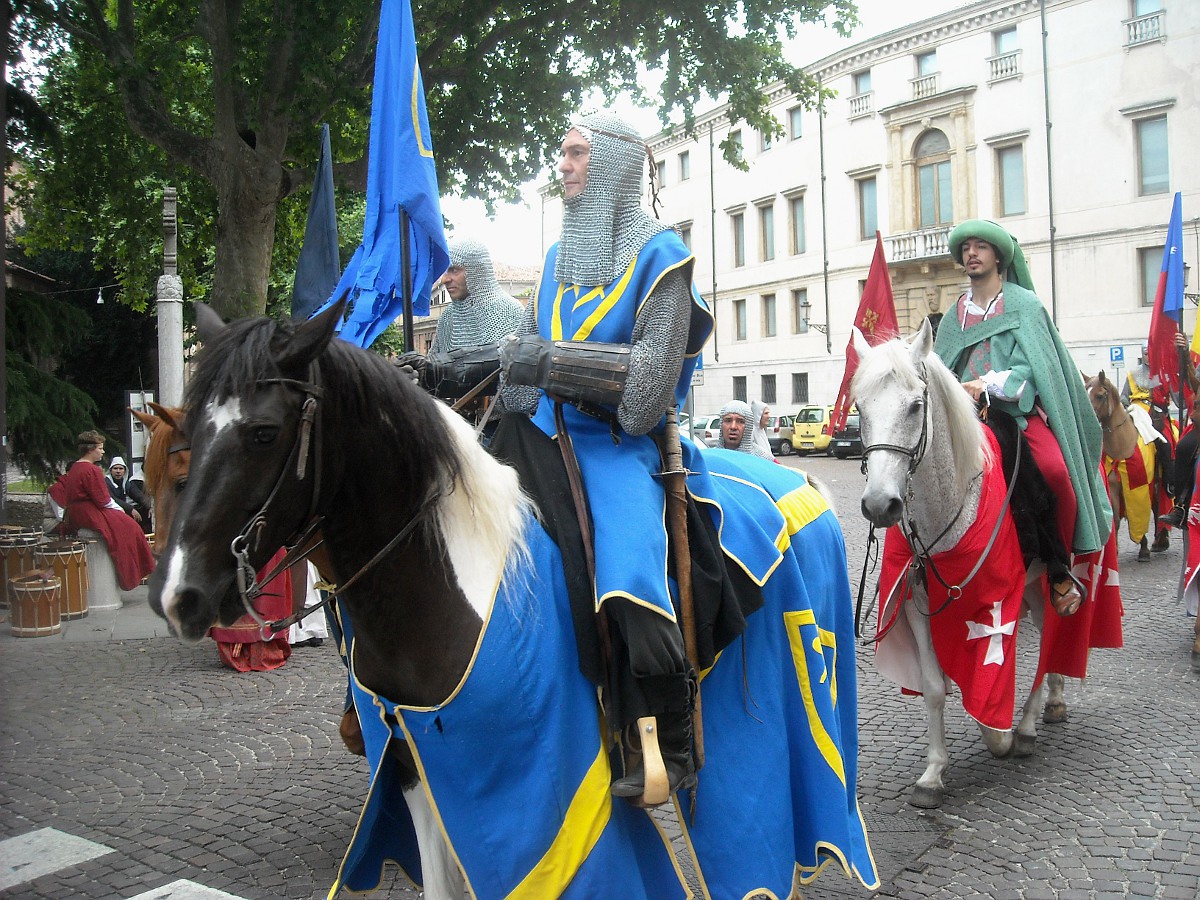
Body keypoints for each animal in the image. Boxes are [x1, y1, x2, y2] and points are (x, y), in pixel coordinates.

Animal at [849, 321, 1065, 811]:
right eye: (859, 408)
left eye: (915, 406)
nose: (879, 505)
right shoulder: (914, 600)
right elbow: (932, 686)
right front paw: (933, 773)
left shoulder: (996, 606)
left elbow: (993, 671)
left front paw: (999, 735)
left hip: (1046, 578)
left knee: (1052, 638)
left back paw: (1026, 725)